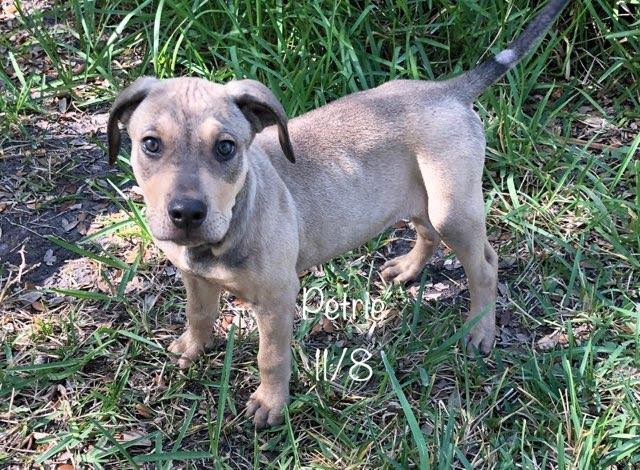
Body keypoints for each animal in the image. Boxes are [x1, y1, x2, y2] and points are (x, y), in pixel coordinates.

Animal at [107, 0, 568, 426]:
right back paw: (407, 269)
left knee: (484, 266)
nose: (186, 213)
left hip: (451, 207)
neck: (228, 228)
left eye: (225, 148)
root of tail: (448, 90)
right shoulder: (193, 277)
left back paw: (479, 331)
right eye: (150, 144)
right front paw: (192, 347)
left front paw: (270, 404)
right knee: (428, 233)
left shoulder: (277, 298)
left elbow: (271, 357)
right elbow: (199, 314)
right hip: (420, 198)